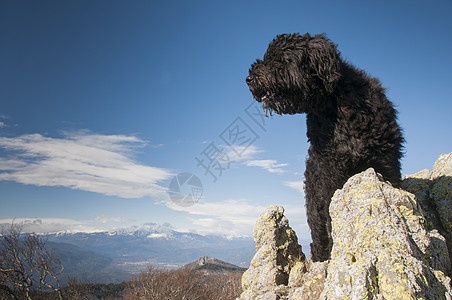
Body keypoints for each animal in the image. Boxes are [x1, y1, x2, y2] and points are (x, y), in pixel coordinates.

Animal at [245, 33, 404, 262]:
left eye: (280, 59)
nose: (249, 79)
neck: (335, 105)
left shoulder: (386, 160)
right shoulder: (329, 171)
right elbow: (328, 216)